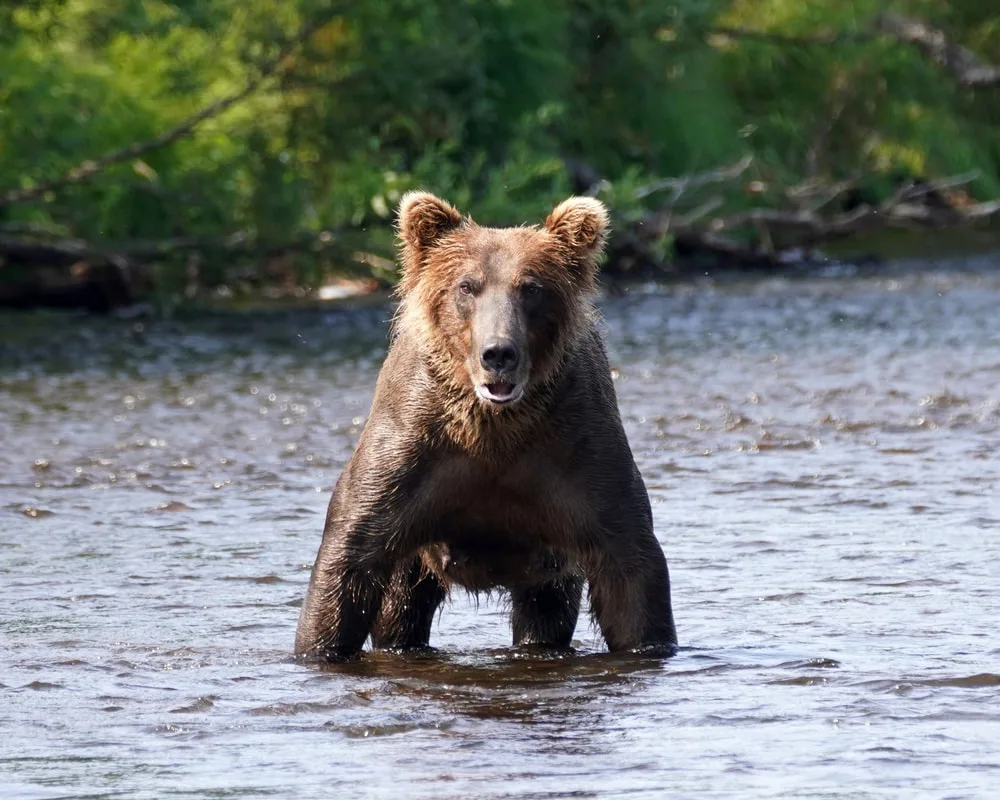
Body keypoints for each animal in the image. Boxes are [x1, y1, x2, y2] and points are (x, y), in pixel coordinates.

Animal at [294, 192, 677, 661]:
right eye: (466, 285)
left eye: (531, 287)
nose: (498, 353)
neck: (492, 428)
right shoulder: (413, 450)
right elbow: (348, 559)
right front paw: (319, 646)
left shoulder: (575, 454)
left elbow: (631, 569)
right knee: (400, 609)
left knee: (545, 610)